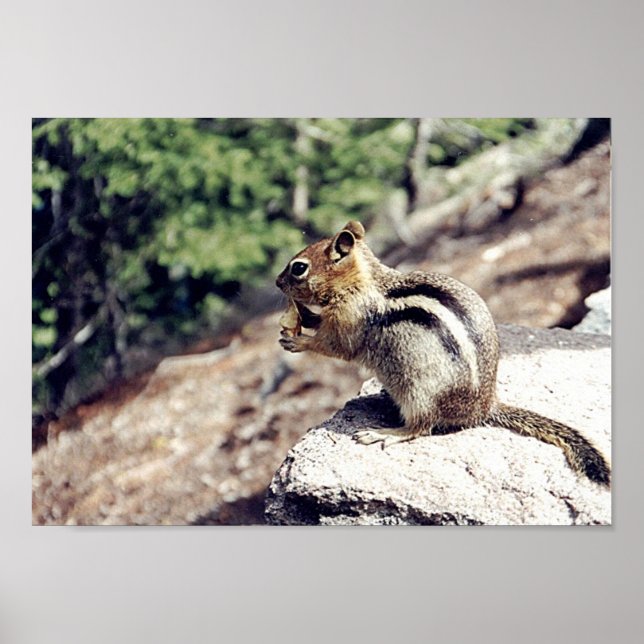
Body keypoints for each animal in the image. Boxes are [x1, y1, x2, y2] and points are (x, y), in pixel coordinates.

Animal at [275, 220, 611, 487]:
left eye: (298, 268)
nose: (277, 282)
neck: (362, 281)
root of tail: (483, 409)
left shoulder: (351, 320)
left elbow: (335, 346)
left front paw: (298, 342)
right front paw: (306, 317)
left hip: (420, 392)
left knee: (421, 428)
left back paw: (385, 433)